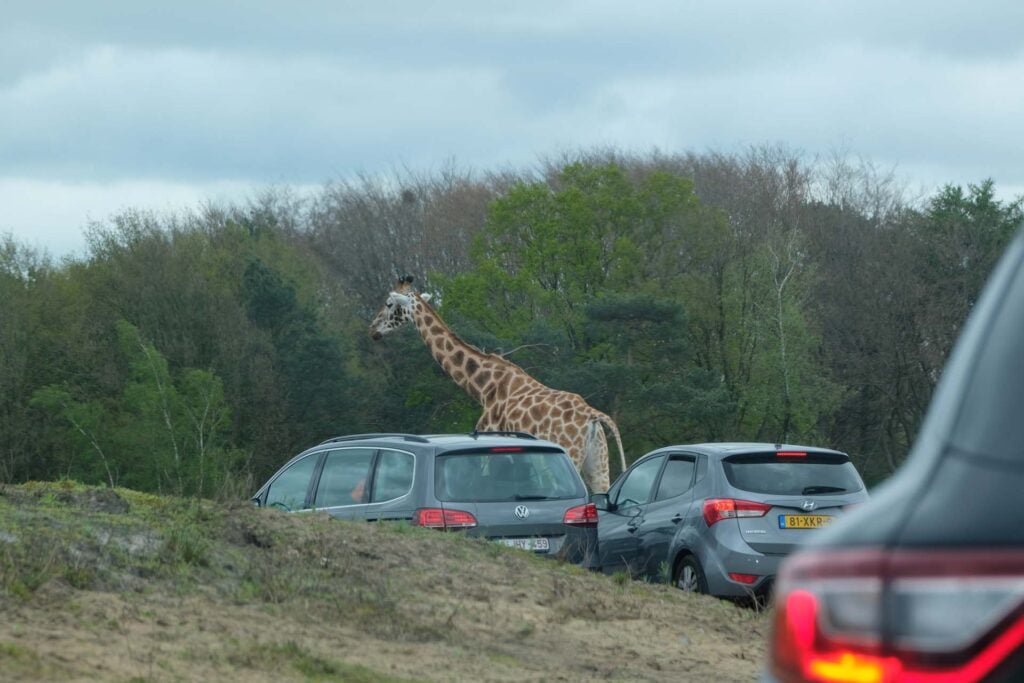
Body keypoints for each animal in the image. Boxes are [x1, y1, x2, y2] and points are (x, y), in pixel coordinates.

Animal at [369, 276, 627, 492]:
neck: (483, 386)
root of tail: (593, 416)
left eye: (389, 303)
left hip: (570, 453)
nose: (372, 329)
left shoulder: (487, 442)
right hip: (598, 464)